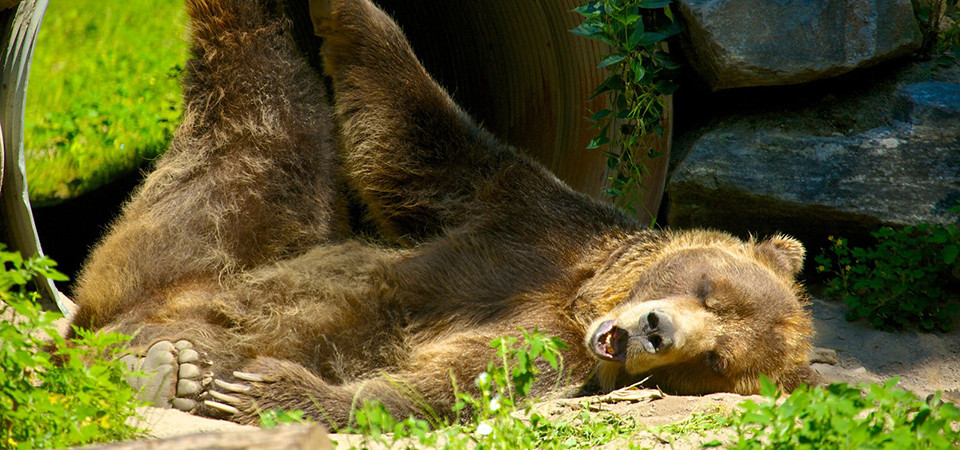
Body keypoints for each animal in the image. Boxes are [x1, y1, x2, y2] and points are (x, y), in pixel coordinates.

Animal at [67, 0, 816, 427]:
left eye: (715, 361)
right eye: (708, 287)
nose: (657, 331)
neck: (579, 292)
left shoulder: (537, 347)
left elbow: (433, 385)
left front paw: (266, 391)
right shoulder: (527, 213)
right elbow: (412, 128)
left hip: (184, 247)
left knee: (266, 118)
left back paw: (168, 369)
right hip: (224, 240)